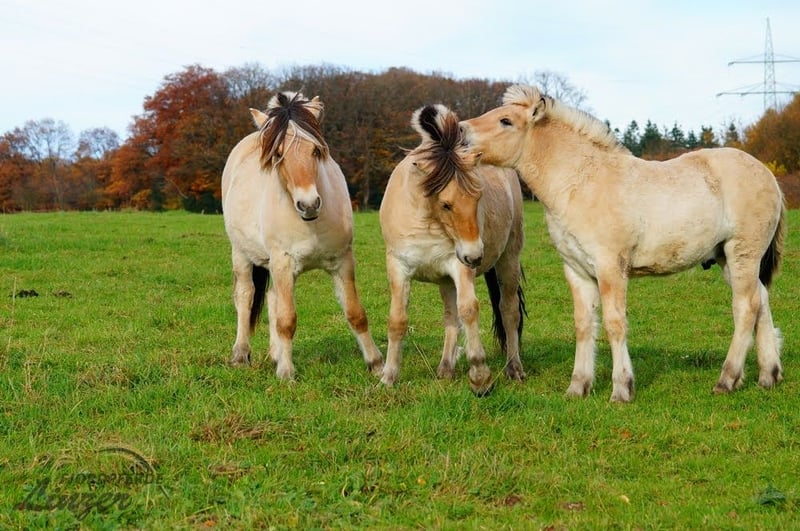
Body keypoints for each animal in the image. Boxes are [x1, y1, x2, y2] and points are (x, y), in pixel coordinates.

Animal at [221, 91, 384, 380]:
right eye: (278, 154)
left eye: (316, 151)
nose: (308, 204)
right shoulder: (283, 263)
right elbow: (287, 320)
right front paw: (286, 372)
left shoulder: (342, 261)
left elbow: (355, 313)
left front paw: (376, 364)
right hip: (241, 254)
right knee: (245, 295)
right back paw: (241, 354)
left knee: (272, 298)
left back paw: (274, 354)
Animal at [379, 104, 526, 395]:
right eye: (446, 204)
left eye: (478, 197)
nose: (476, 255)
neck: (426, 220)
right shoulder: (399, 268)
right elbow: (398, 320)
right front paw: (388, 377)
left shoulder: (460, 266)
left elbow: (469, 310)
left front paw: (480, 377)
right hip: (446, 280)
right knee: (451, 316)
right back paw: (445, 368)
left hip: (508, 261)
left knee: (508, 312)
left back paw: (514, 368)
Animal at [460, 84, 786, 402]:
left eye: (505, 121)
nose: (461, 132)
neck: (582, 182)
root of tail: (768, 176)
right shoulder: (577, 271)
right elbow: (584, 325)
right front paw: (578, 387)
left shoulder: (610, 268)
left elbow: (615, 324)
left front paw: (621, 389)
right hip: (726, 258)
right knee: (761, 300)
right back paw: (768, 376)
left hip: (742, 253)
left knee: (746, 307)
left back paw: (727, 380)